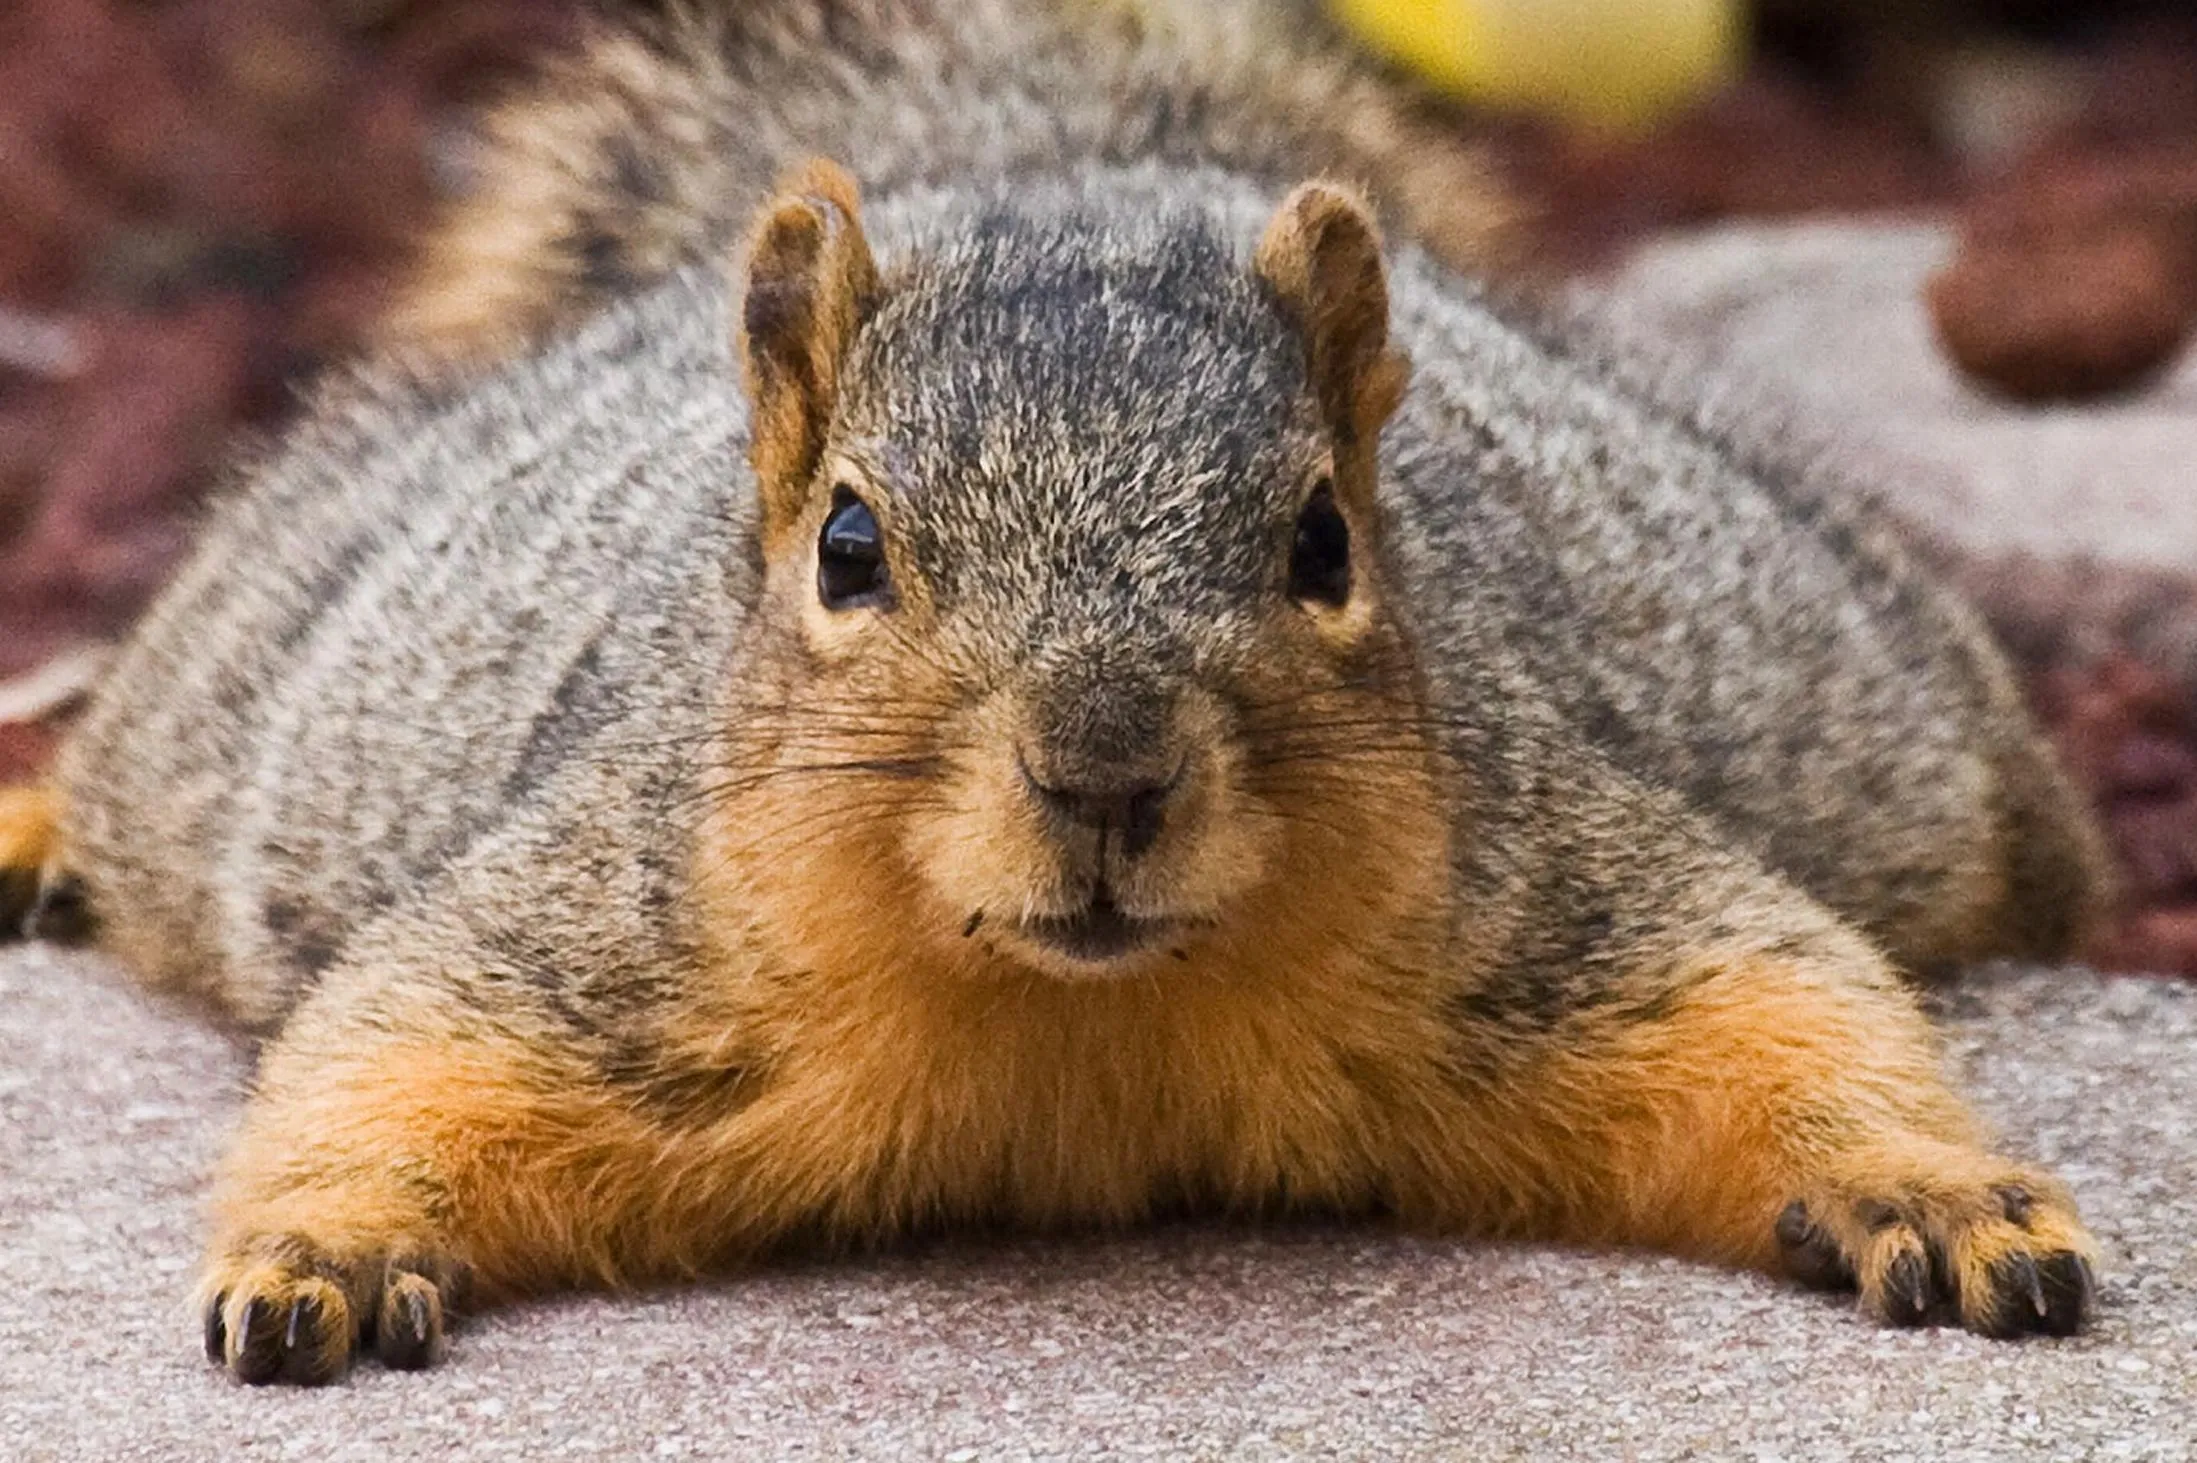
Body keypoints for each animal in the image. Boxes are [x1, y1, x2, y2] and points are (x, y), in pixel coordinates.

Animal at [0, 0, 2109, 1388]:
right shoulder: (600, 934)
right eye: (847, 544)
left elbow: (1784, 1000)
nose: (1105, 776)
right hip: (222, 696)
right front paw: (320, 1249)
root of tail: (1038, 158)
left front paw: (1937, 1193)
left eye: (1324, 541)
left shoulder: (1551, 892)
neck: (1075, 1024)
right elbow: (394, 1043)